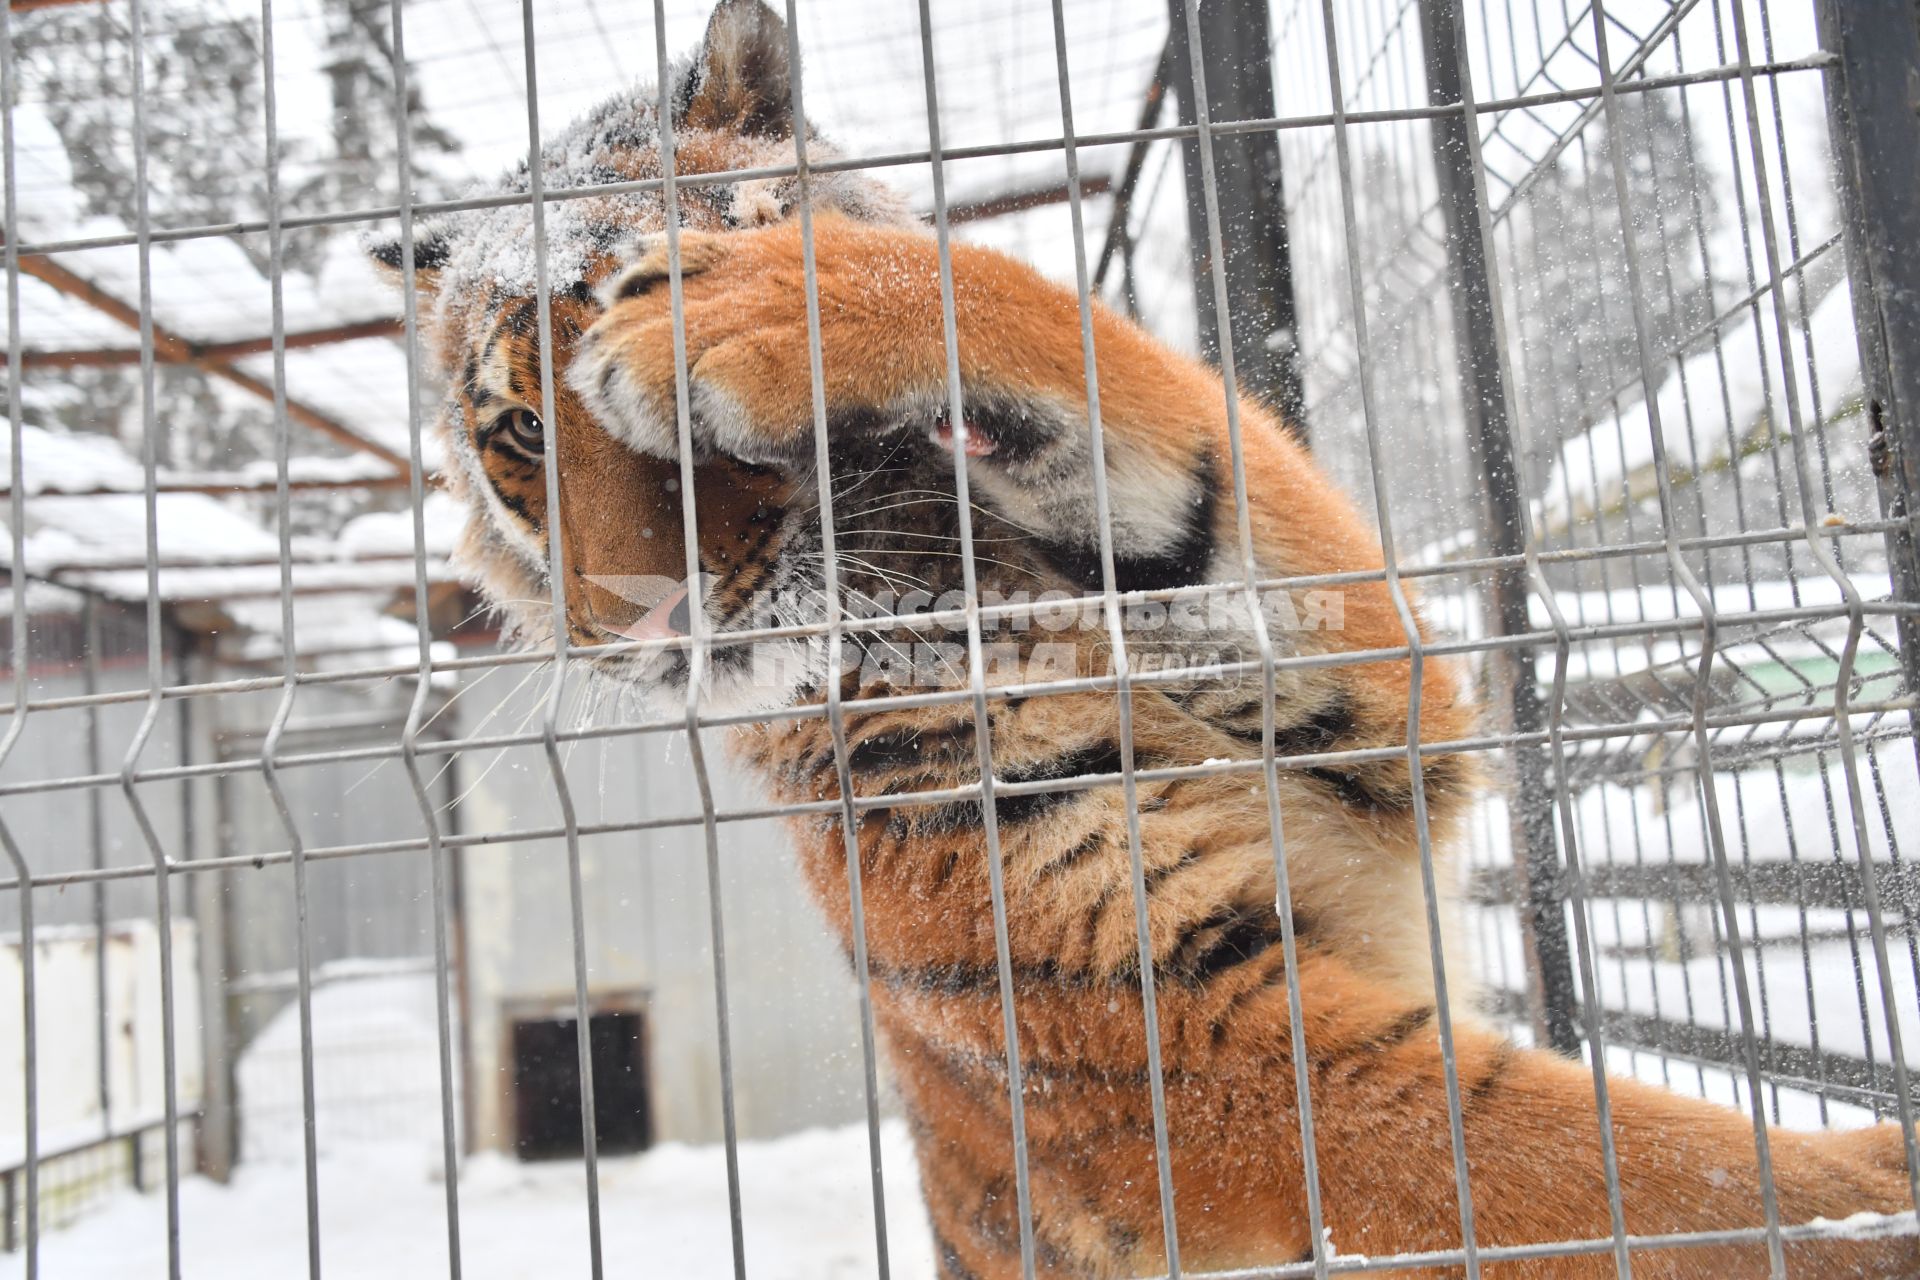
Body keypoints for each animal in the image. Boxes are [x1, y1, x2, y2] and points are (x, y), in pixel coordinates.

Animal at [370, 5, 1920, 1274]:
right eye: (517, 433)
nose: (637, 616)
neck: (971, 595)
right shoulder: (1168, 1038)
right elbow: (1617, 1165)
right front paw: (1874, 1204)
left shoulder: (1385, 713)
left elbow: (1157, 421)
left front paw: (779, 294)